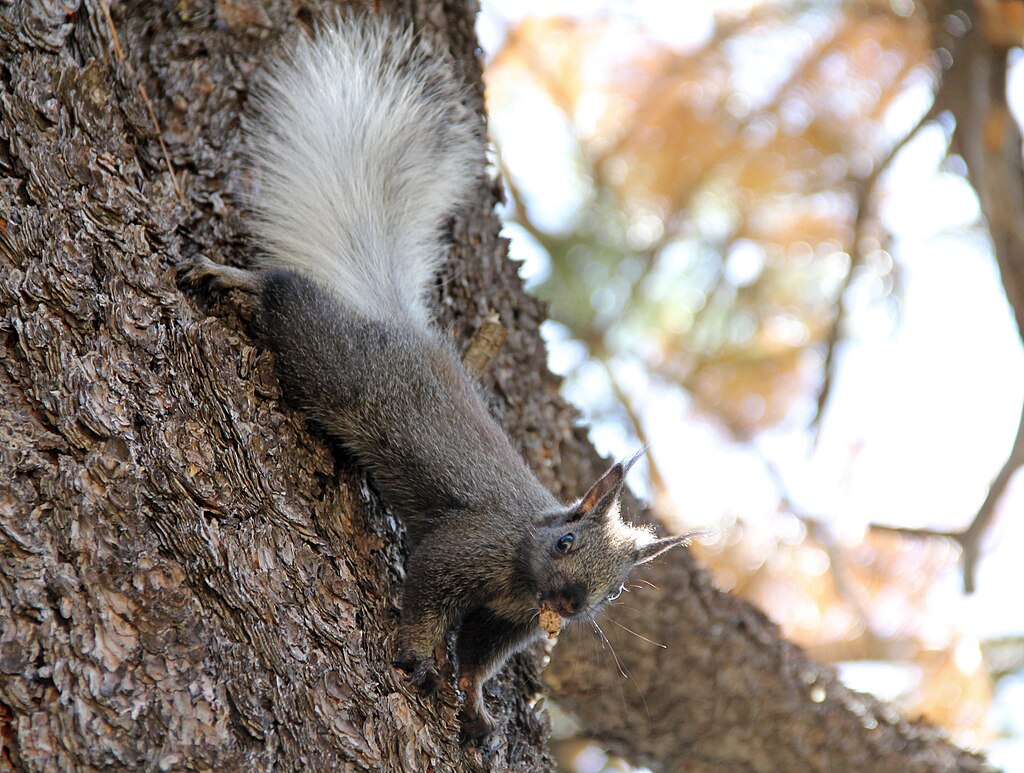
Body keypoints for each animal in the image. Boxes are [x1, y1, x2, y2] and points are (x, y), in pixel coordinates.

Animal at [185, 10, 696, 737]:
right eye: (566, 541)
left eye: (616, 590)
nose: (571, 603)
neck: (521, 573)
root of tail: (401, 324)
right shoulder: (467, 545)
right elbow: (426, 595)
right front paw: (417, 654)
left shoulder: (506, 619)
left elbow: (480, 658)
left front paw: (476, 707)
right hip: (332, 361)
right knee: (287, 295)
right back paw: (234, 278)